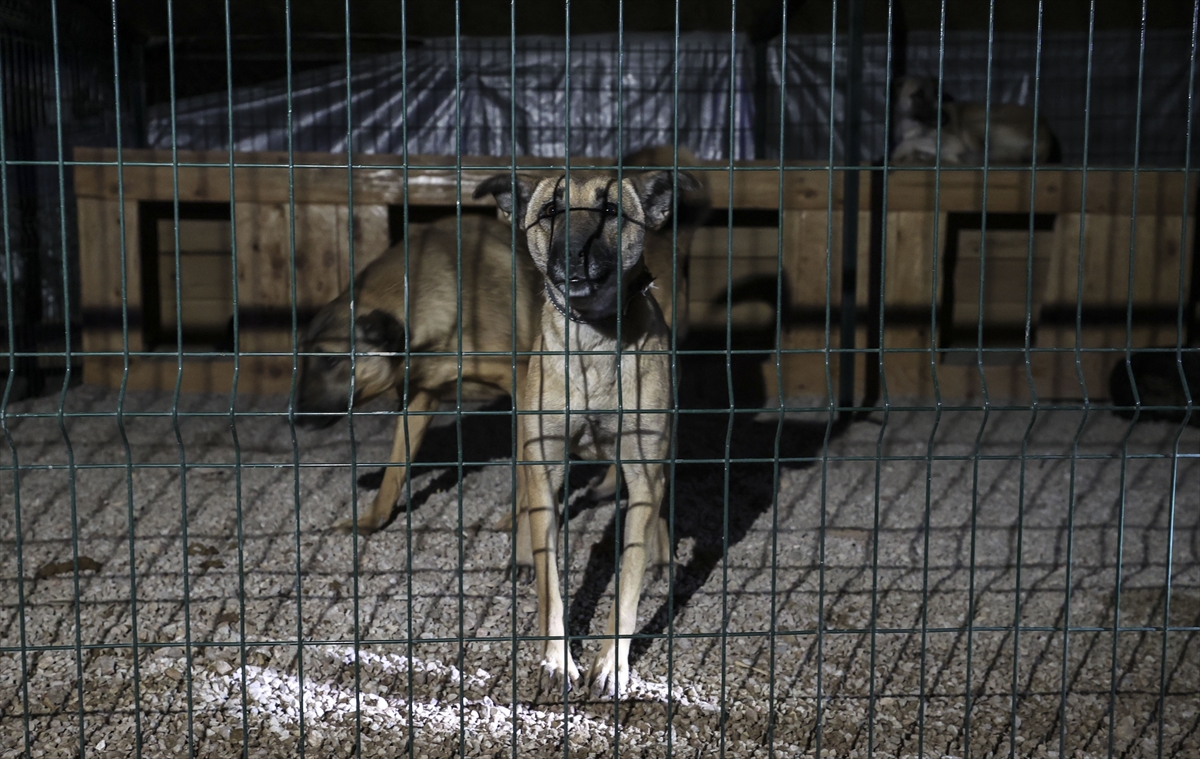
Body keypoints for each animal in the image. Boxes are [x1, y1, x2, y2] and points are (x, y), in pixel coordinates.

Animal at [468, 165, 696, 701]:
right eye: (550, 210)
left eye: (611, 210)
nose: (573, 253)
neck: (593, 340)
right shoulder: (545, 463)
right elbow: (551, 581)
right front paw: (556, 660)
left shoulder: (645, 465)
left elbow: (628, 578)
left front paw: (612, 664)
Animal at [892, 75, 1060, 165]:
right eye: (918, 96)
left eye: (938, 95)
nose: (944, 118)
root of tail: (1046, 132)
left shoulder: (955, 142)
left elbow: (911, 143)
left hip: (974, 125)